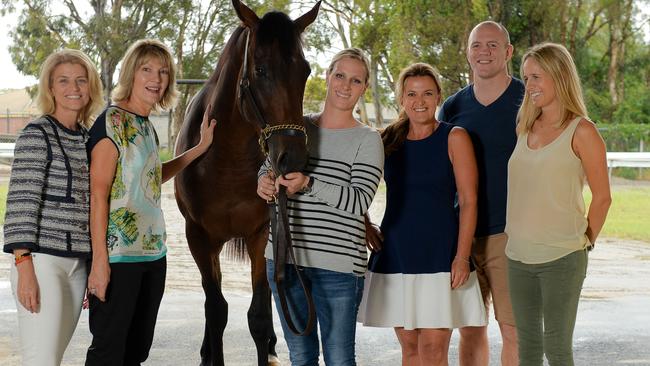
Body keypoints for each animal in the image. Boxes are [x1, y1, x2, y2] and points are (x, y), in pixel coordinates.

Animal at [172, 0, 318, 366]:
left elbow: (259, 315)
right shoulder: (199, 237)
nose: (293, 157)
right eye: (261, 70)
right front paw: (212, 355)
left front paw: (267, 346)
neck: (226, 160)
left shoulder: (260, 234)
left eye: (306, 71)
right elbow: (216, 309)